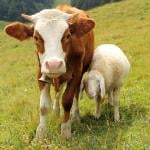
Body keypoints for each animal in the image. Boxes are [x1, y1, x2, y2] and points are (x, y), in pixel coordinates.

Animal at [4, 5, 95, 139]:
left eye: (68, 35)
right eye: (36, 37)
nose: (54, 65)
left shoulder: (76, 72)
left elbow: (67, 100)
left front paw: (66, 130)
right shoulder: (41, 71)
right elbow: (44, 106)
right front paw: (40, 134)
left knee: (75, 94)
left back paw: (75, 117)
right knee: (59, 91)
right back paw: (57, 111)